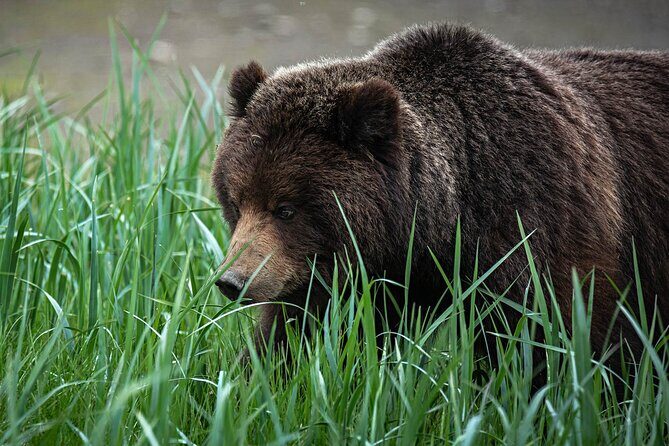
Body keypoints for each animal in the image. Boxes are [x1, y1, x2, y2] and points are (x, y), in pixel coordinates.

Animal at [211, 23, 669, 368]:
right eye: (236, 201)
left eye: (285, 208)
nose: (233, 280)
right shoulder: (356, 275)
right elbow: (303, 334)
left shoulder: (540, 224)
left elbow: (554, 341)